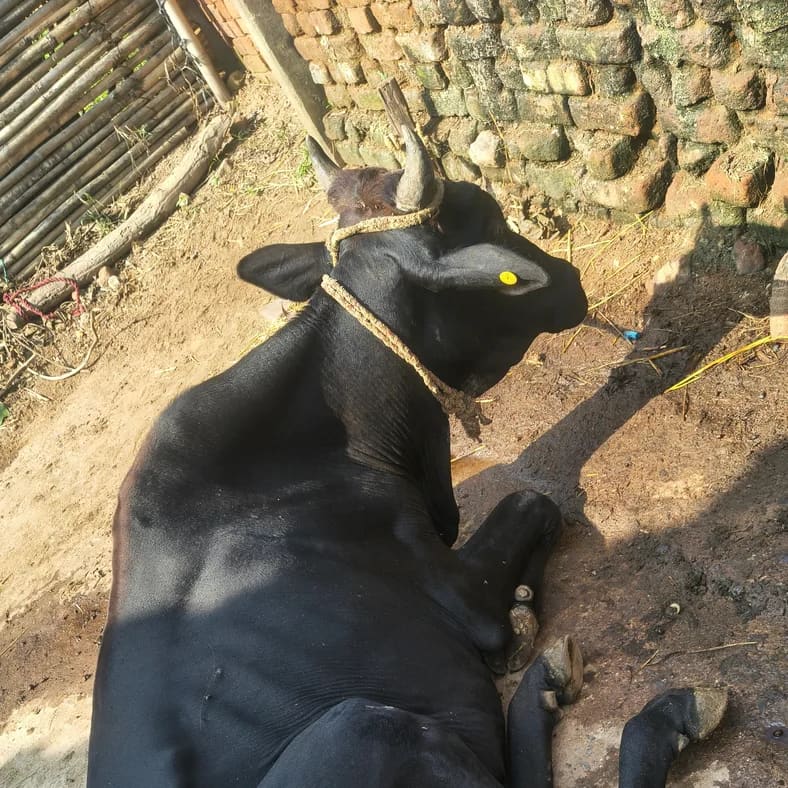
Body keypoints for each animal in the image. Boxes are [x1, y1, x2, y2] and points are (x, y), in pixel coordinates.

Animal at [87, 128, 726, 787]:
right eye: (489, 220)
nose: (570, 277)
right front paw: (522, 613)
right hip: (368, 723)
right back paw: (664, 711)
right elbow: (534, 500)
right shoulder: (463, 595)